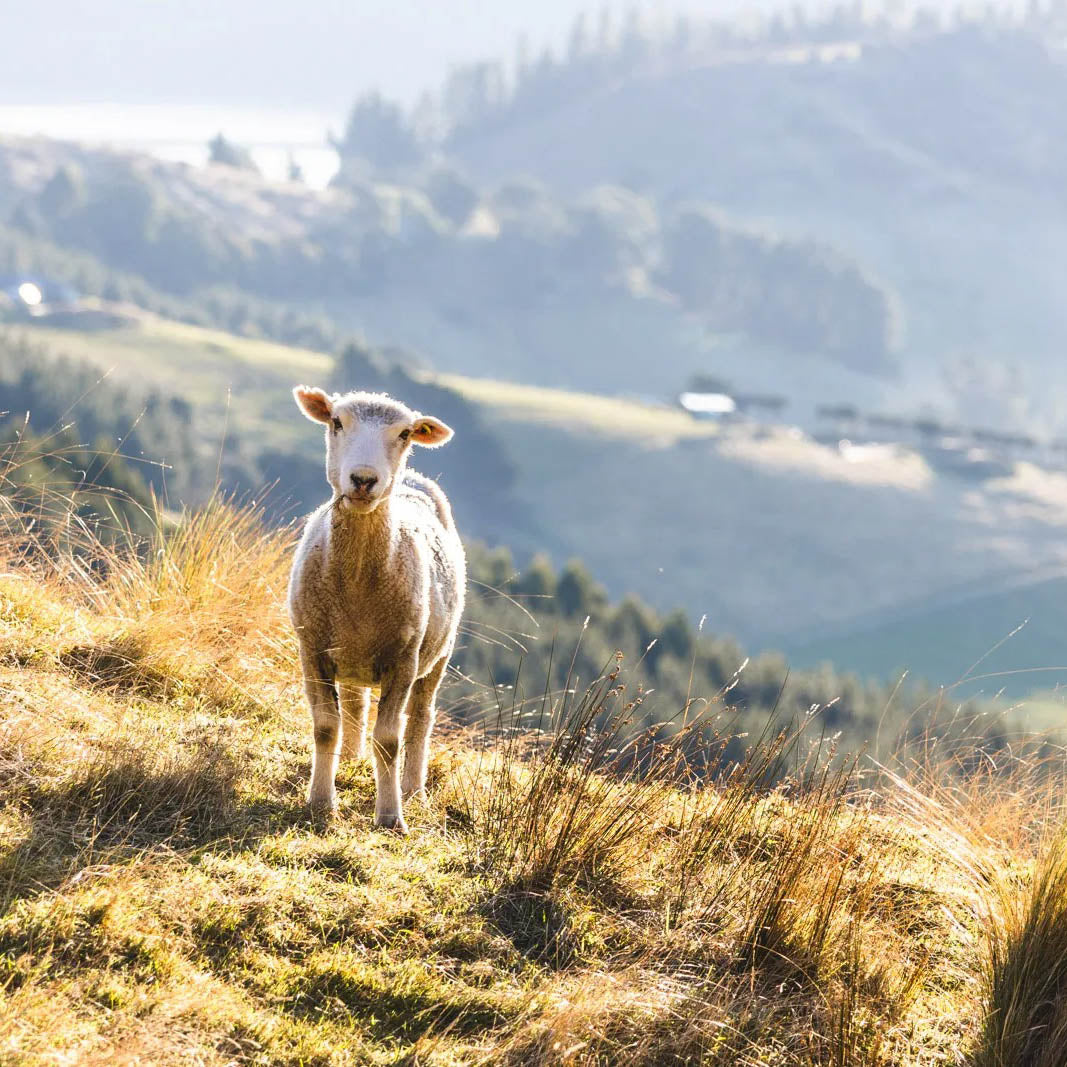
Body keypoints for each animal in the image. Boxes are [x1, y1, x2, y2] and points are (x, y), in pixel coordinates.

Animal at [285, 384, 465, 832]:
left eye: (404, 434)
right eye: (336, 422)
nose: (364, 479)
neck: (357, 584)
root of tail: (414, 480)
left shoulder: (403, 659)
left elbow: (388, 740)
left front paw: (389, 815)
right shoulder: (312, 649)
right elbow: (325, 727)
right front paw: (321, 802)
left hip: (439, 652)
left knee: (421, 719)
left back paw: (414, 789)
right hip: (350, 655)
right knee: (354, 705)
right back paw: (348, 761)